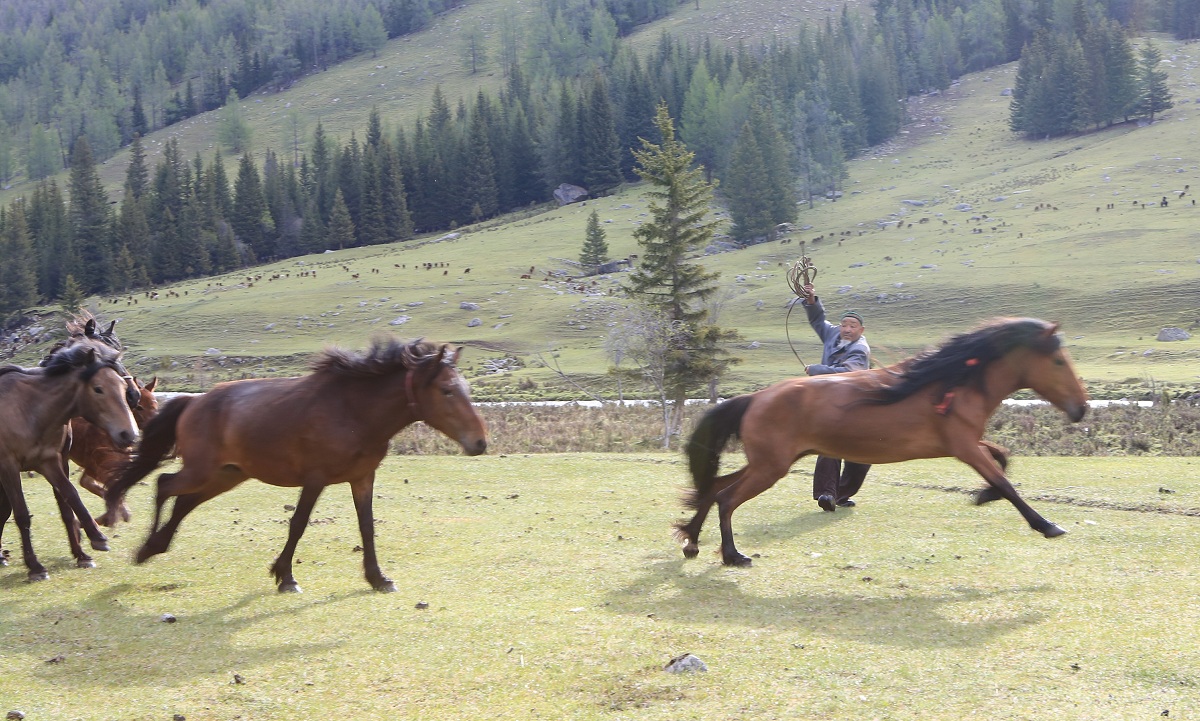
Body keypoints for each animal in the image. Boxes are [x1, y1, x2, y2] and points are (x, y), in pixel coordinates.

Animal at [0, 343, 139, 578]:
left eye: (121, 385)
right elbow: (22, 514)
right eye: (98, 389)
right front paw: (35, 566)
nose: (129, 434)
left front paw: (93, 541)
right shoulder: (9, 466)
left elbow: (70, 497)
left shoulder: (48, 461)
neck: (29, 409)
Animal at [106, 335, 487, 590]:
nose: (480, 442)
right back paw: (147, 547)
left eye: (465, 388)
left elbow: (367, 526)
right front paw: (285, 575)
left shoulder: (363, 477)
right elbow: (298, 524)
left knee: (182, 501)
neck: (353, 412)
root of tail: (193, 401)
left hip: (226, 475)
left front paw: (377, 577)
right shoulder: (315, 478)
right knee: (164, 485)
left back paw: (157, 545)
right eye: (447, 391)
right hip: (202, 471)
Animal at [681, 316, 1094, 566]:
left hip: (768, 462)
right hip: (771, 467)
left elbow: (1003, 460)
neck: (951, 385)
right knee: (725, 497)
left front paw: (981, 496)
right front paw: (1046, 525)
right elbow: (1006, 482)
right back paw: (732, 555)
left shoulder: (967, 443)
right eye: (1058, 361)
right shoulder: (963, 447)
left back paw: (691, 541)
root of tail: (754, 398)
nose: (1082, 408)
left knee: (714, 486)